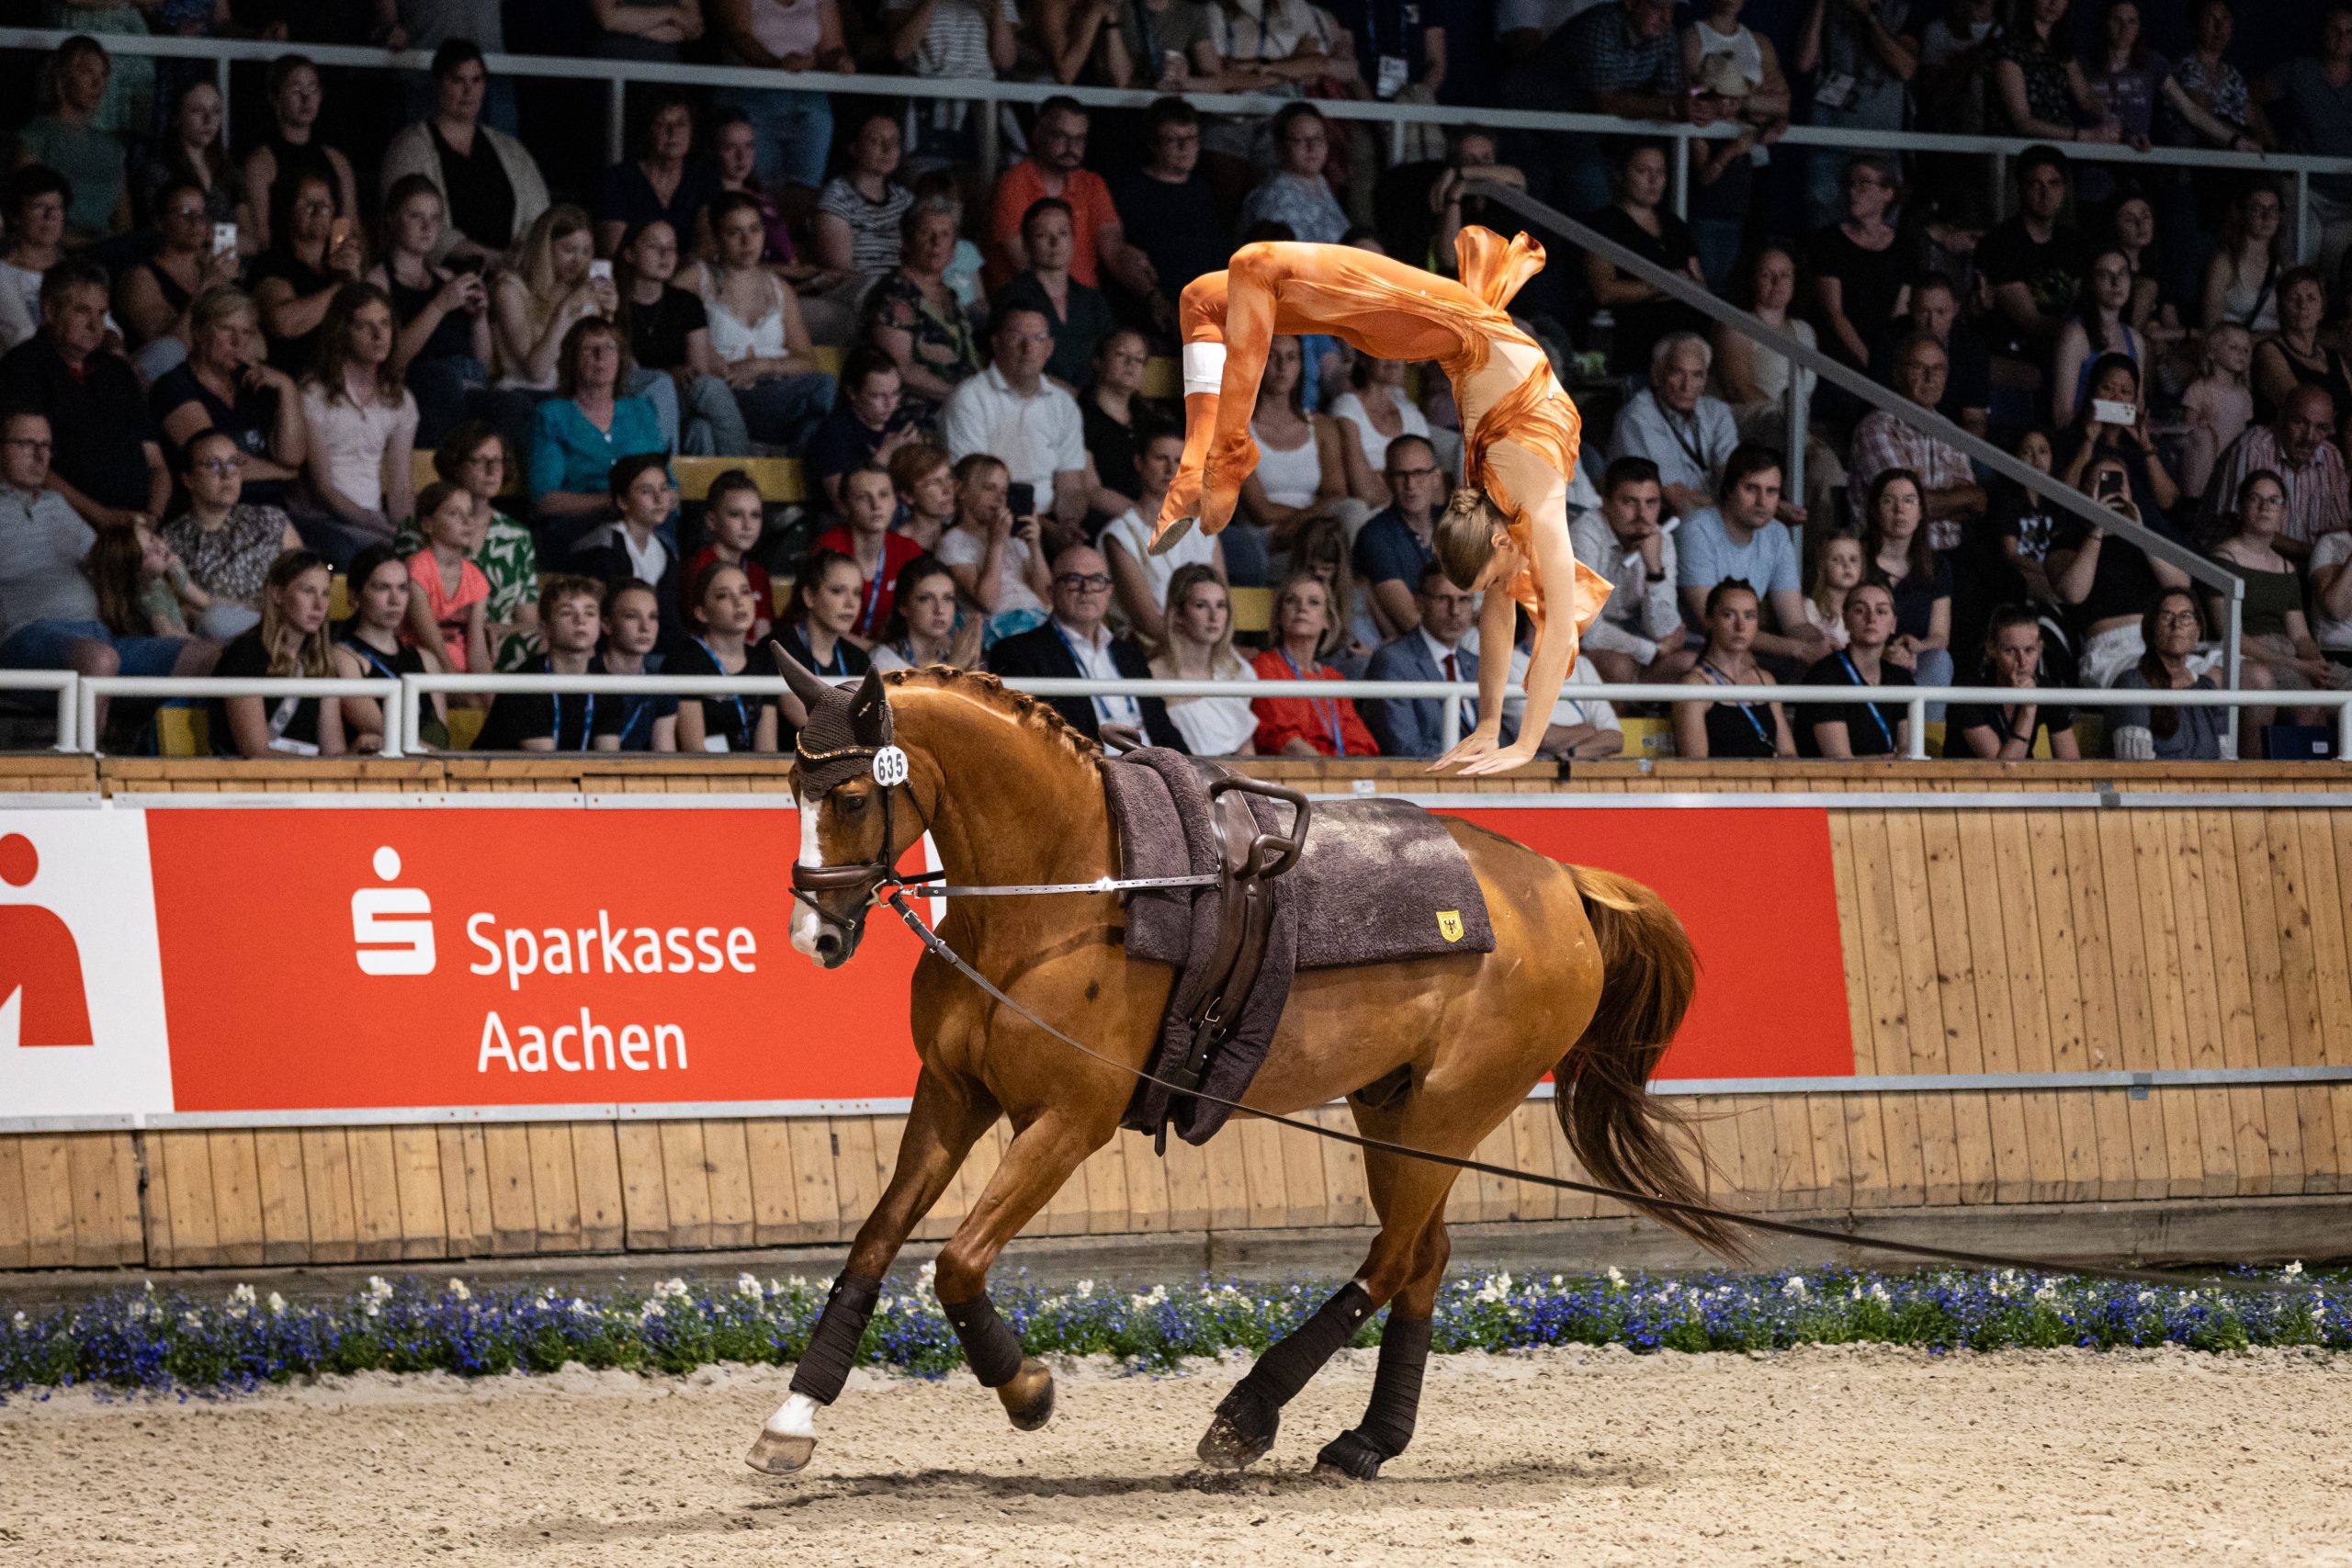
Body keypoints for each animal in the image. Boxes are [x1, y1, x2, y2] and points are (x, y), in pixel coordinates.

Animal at [752, 658, 1730, 1481]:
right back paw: (1367, 1442)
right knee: (1424, 1256)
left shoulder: (1068, 1120)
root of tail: (1561, 880)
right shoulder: (954, 1095)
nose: (815, 935)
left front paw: (1027, 1389)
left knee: (1391, 1258)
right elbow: (875, 1242)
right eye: (794, 786)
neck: (1068, 892)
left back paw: (1248, 1414)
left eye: (848, 794)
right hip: (1396, 1109)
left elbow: (956, 1262)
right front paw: (793, 1418)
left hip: (1452, 1111)